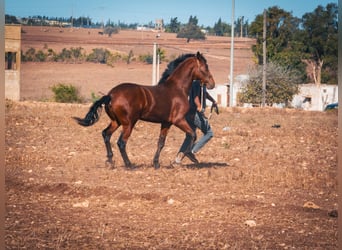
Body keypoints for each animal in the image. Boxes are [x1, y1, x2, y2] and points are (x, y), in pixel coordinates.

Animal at [73, 51, 215, 169]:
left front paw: (156, 164)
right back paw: (129, 165)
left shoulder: (166, 123)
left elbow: (161, 143)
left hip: (116, 122)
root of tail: (111, 95)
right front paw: (183, 157)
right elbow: (192, 135)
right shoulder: (178, 120)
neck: (177, 88)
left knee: (106, 135)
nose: (212, 84)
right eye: (205, 67)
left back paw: (110, 161)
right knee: (121, 142)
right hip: (129, 123)